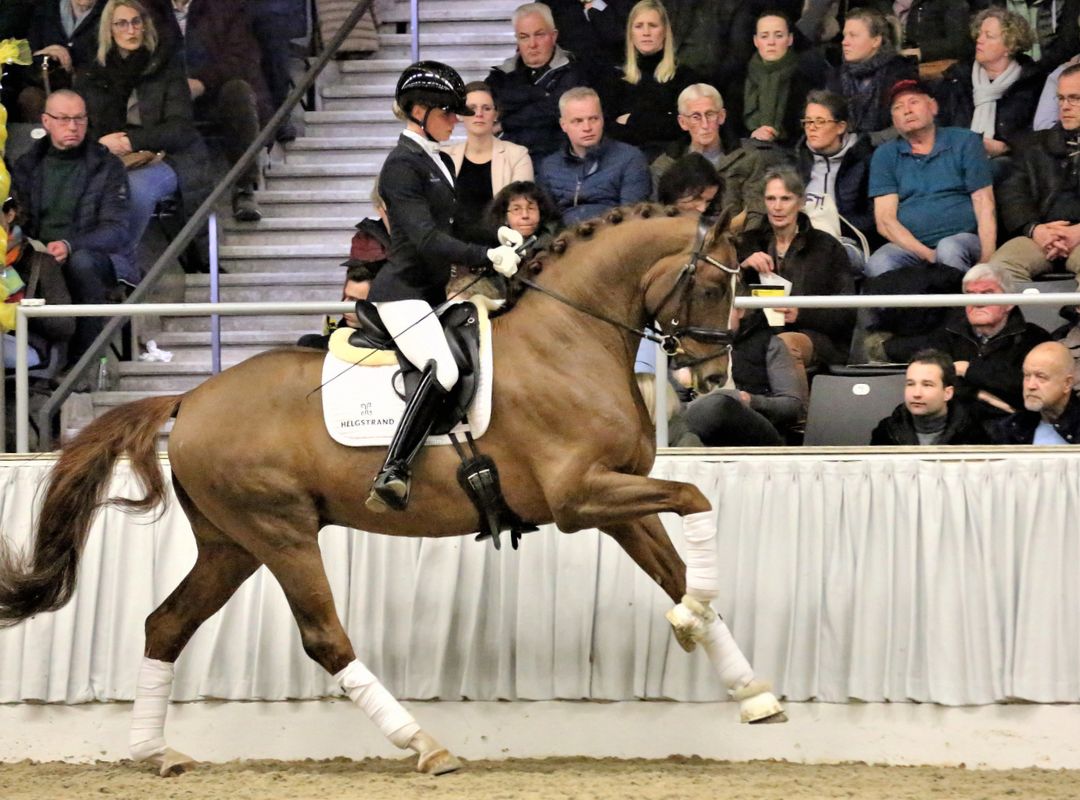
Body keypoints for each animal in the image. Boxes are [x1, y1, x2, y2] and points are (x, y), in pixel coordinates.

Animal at [0, 203, 784, 777]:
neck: (571, 339)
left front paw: (751, 691)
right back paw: (424, 746)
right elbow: (696, 502)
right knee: (325, 638)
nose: (713, 379)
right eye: (710, 286)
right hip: (280, 533)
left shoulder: (616, 496)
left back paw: (154, 752)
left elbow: (676, 563)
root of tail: (190, 399)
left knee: (165, 624)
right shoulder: (578, 499)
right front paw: (692, 622)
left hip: (232, 544)